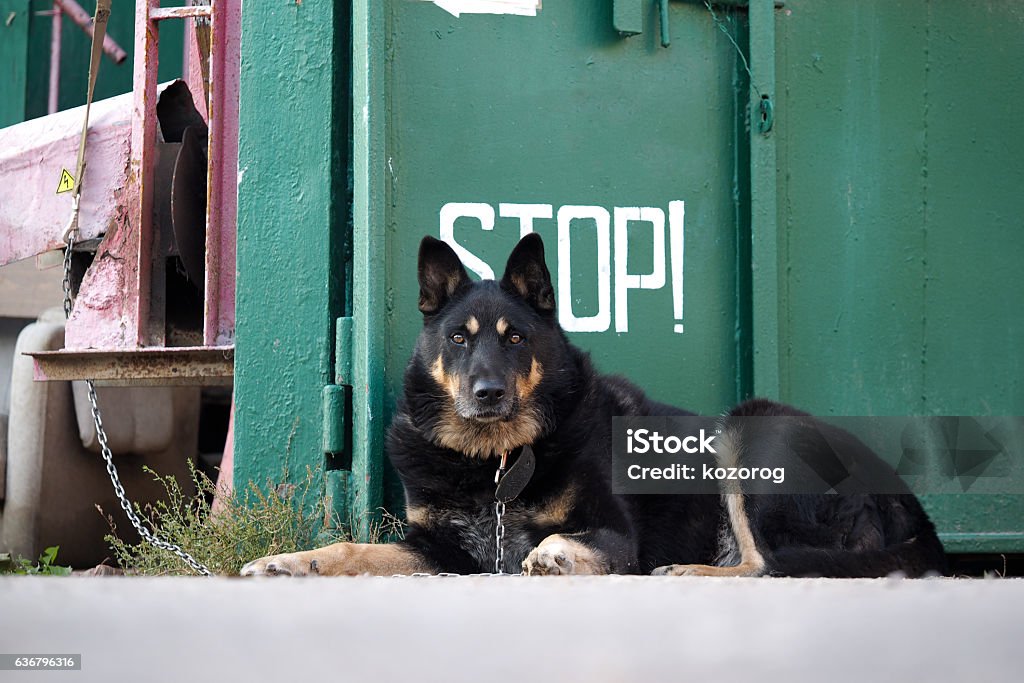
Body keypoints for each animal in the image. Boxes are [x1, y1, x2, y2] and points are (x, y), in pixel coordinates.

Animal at [243, 233, 946, 577]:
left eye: (516, 339)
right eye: (458, 339)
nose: (488, 393)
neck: (495, 462)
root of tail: (911, 505)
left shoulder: (614, 534)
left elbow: (572, 538)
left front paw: (554, 553)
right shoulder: (438, 549)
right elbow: (353, 550)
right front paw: (289, 561)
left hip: (750, 427)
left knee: (769, 565)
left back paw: (686, 572)